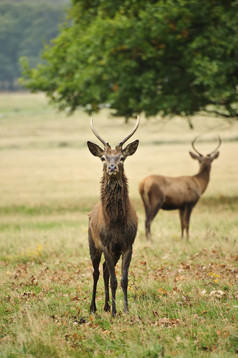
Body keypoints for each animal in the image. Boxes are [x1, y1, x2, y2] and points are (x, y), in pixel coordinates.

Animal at [87, 115, 139, 316]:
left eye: (122, 157)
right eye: (103, 157)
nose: (111, 167)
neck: (116, 222)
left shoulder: (127, 245)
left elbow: (123, 280)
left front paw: (125, 309)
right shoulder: (106, 245)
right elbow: (114, 281)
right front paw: (116, 313)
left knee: (105, 270)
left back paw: (106, 305)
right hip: (92, 244)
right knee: (96, 271)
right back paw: (93, 307)